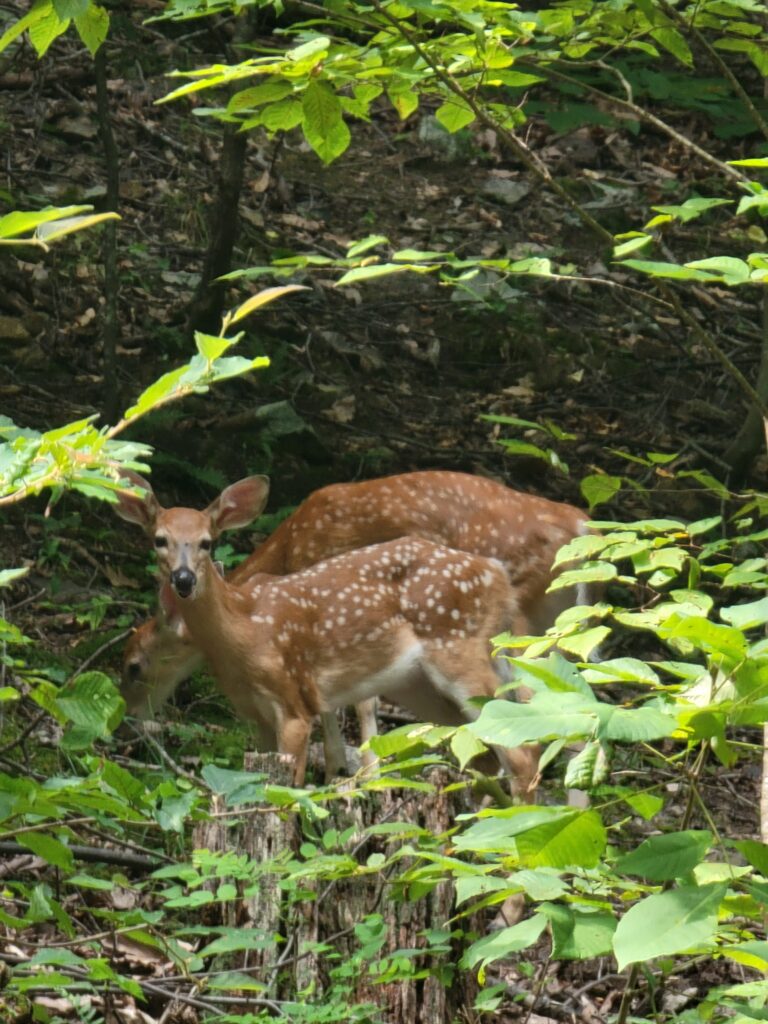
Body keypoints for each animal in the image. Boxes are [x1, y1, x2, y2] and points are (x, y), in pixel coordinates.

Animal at [113, 473, 540, 796]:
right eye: (159, 539)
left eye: (206, 541)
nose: (183, 579)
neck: (242, 632)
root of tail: (500, 580)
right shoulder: (256, 717)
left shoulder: (293, 703)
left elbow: (289, 790)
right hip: (419, 686)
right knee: (487, 754)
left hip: (458, 650)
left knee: (521, 753)